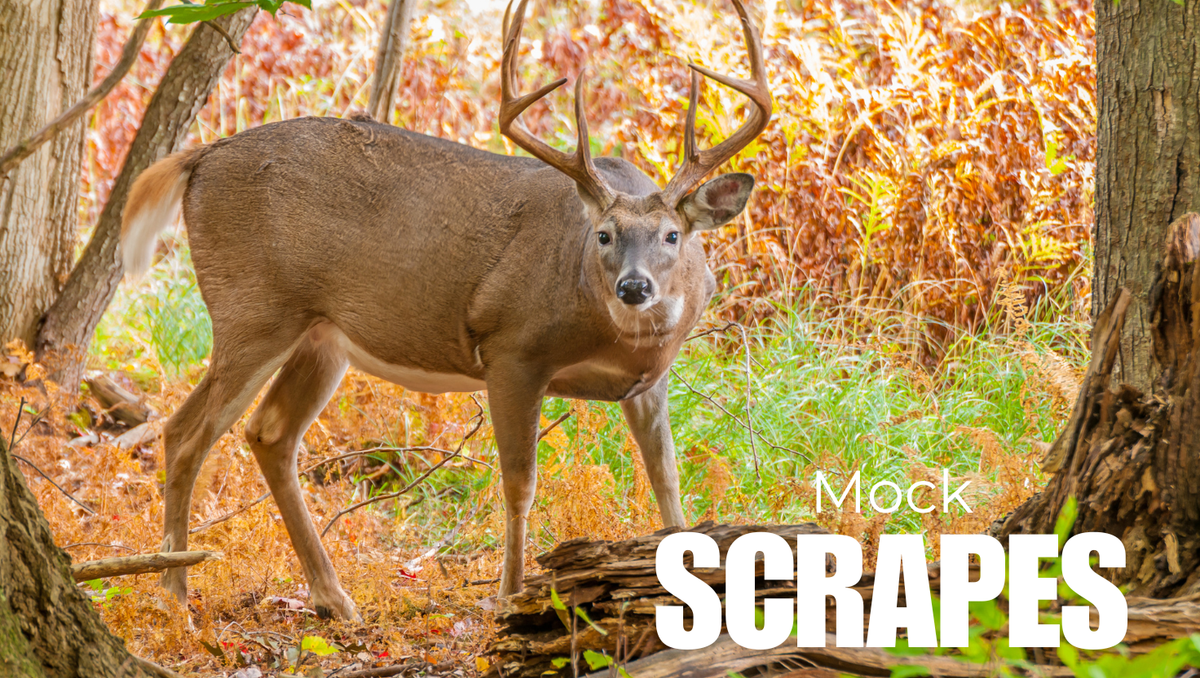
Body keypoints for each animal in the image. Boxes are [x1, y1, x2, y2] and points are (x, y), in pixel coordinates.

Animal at [119, 0, 770, 621]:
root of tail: (199, 156)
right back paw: (175, 592)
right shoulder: (512, 351)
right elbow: (519, 484)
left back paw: (333, 599)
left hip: (320, 335)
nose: (635, 288)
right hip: (254, 308)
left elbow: (666, 480)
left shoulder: (649, 381)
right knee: (186, 433)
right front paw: (510, 596)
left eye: (671, 235)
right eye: (605, 235)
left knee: (266, 432)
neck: (617, 337)